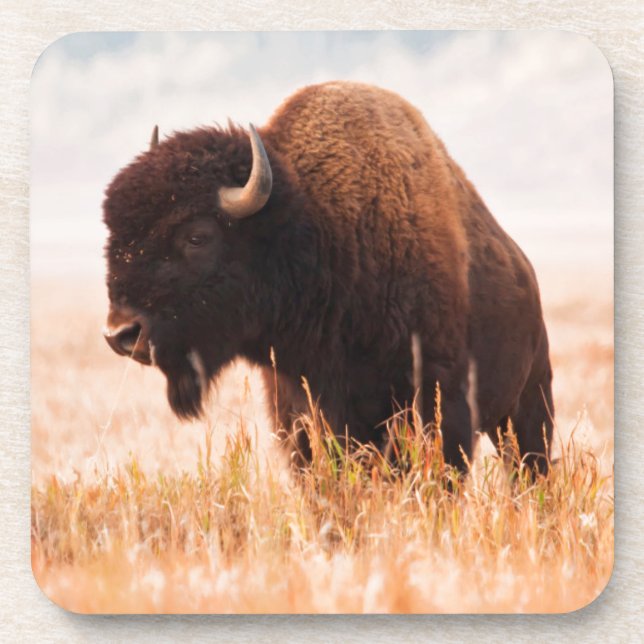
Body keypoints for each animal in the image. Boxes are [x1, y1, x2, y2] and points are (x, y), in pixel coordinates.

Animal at [102, 81, 554, 473]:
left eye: (197, 236)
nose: (121, 333)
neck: (320, 230)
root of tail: (525, 270)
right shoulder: (298, 411)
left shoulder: (440, 404)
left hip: (528, 406)